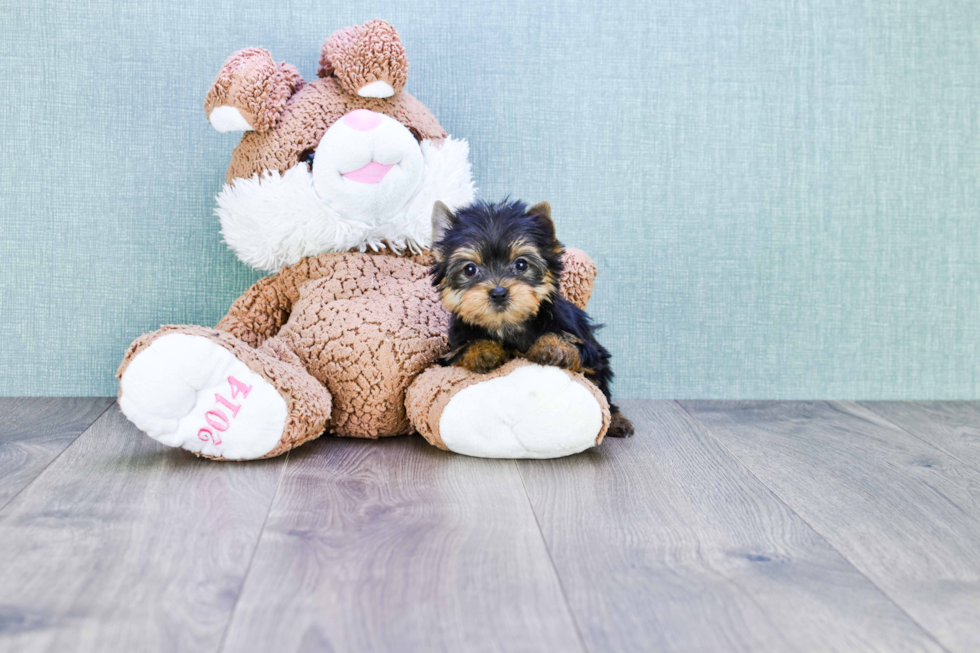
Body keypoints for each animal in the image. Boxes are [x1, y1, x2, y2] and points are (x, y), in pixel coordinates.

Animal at [430, 199, 636, 438]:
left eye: (521, 264)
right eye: (470, 269)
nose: (498, 292)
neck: (508, 324)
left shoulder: (588, 347)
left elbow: (573, 344)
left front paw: (553, 346)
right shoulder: (452, 350)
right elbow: (463, 349)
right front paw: (482, 351)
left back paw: (617, 420)